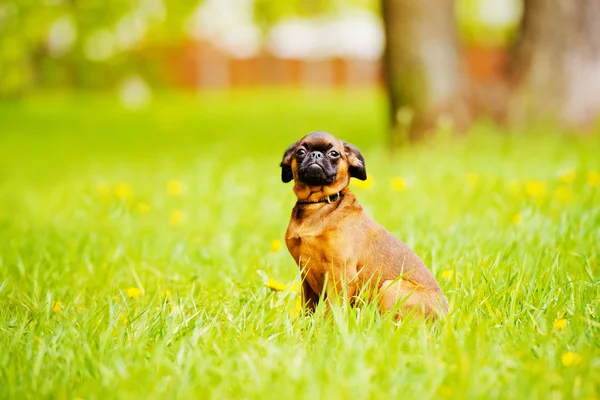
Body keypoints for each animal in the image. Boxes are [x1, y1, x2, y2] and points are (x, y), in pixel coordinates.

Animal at [280, 131, 446, 318]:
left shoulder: (341, 275)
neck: (317, 204)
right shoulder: (306, 277)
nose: (316, 154)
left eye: (334, 153)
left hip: (390, 287)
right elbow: (308, 309)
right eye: (300, 152)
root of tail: (445, 317)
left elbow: (333, 311)